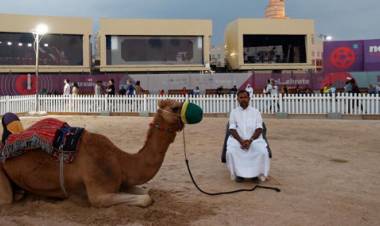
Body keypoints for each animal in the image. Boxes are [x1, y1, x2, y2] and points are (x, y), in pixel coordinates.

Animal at [0, 100, 188, 207]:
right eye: (175, 107)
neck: (120, 160)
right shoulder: (99, 193)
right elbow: (146, 199)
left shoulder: (122, 183)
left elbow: (147, 192)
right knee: (7, 199)